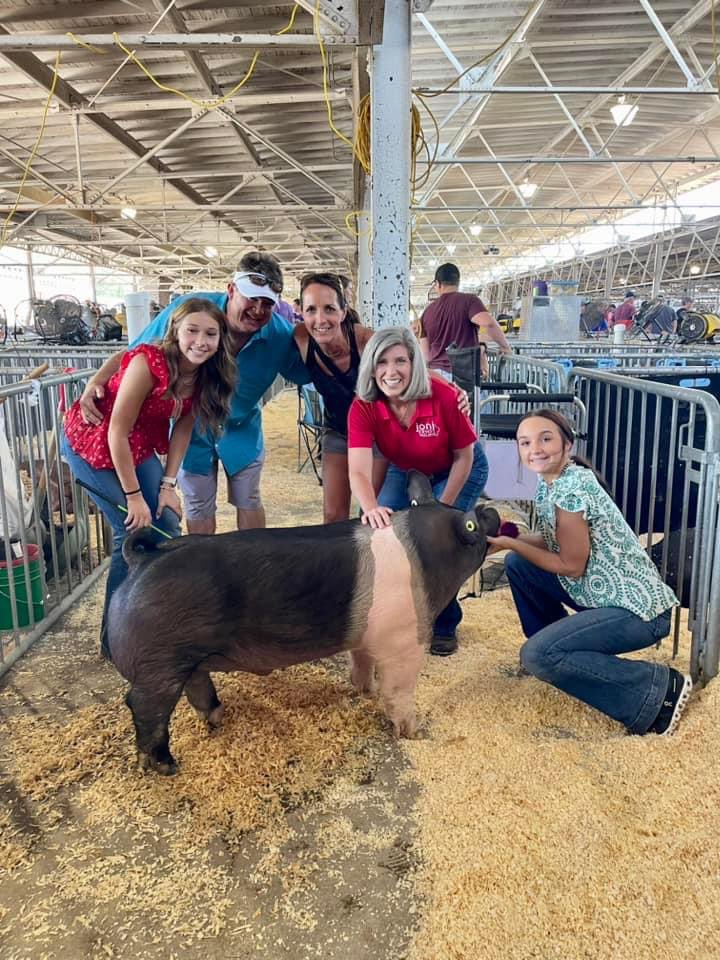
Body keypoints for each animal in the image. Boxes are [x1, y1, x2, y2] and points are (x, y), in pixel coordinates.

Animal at [108, 476, 500, 776]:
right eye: (473, 527)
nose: (490, 511)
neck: (422, 553)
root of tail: (143, 558)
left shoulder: (367, 638)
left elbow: (362, 663)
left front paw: (365, 691)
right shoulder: (405, 638)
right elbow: (399, 690)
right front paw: (415, 734)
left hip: (184, 658)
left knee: (195, 686)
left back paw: (218, 716)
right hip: (159, 663)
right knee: (143, 706)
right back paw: (165, 766)